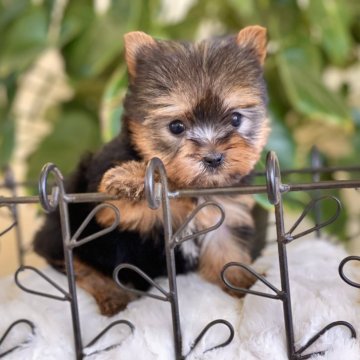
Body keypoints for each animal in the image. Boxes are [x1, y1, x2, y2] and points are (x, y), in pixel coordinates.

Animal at [34, 26, 270, 316]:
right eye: (176, 126)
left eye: (236, 119)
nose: (214, 158)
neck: (190, 187)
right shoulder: (104, 208)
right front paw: (133, 179)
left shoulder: (227, 206)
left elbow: (227, 246)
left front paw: (241, 281)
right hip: (65, 229)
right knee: (74, 262)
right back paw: (111, 292)